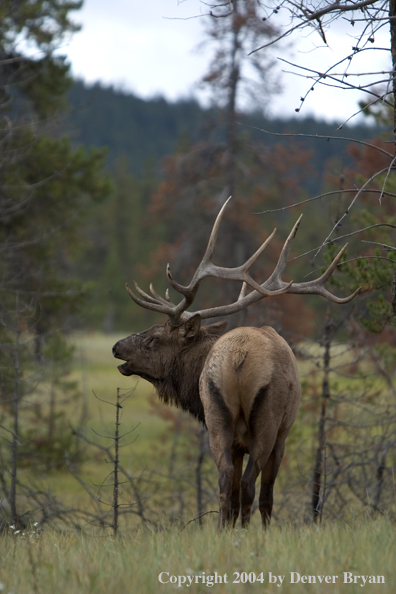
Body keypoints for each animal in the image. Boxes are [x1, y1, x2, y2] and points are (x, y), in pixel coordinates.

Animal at [111, 199, 358, 528]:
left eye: (153, 339)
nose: (116, 347)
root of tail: (238, 358)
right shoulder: (280, 436)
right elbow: (264, 493)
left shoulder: (239, 440)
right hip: (266, 423)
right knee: (251, 484)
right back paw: (251, 530)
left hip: (219, 419)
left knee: (227, 480)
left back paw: (223, 530)